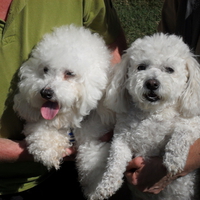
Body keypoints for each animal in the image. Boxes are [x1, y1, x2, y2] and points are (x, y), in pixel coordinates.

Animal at [13, 24, 111, 170]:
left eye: (69, 73)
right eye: (45, 69)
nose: (45, 93)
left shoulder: (94, 136)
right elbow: (42, 131)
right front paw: (49, 148)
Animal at [79, 33, 200, 199]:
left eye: (169, 69)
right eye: (141, 67)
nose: (152, 83)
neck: (152, 112)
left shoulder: (194, 123)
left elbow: (182, 131)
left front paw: (174, 159)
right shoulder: (121, 139)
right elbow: (115, 160)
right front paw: (106, 186)